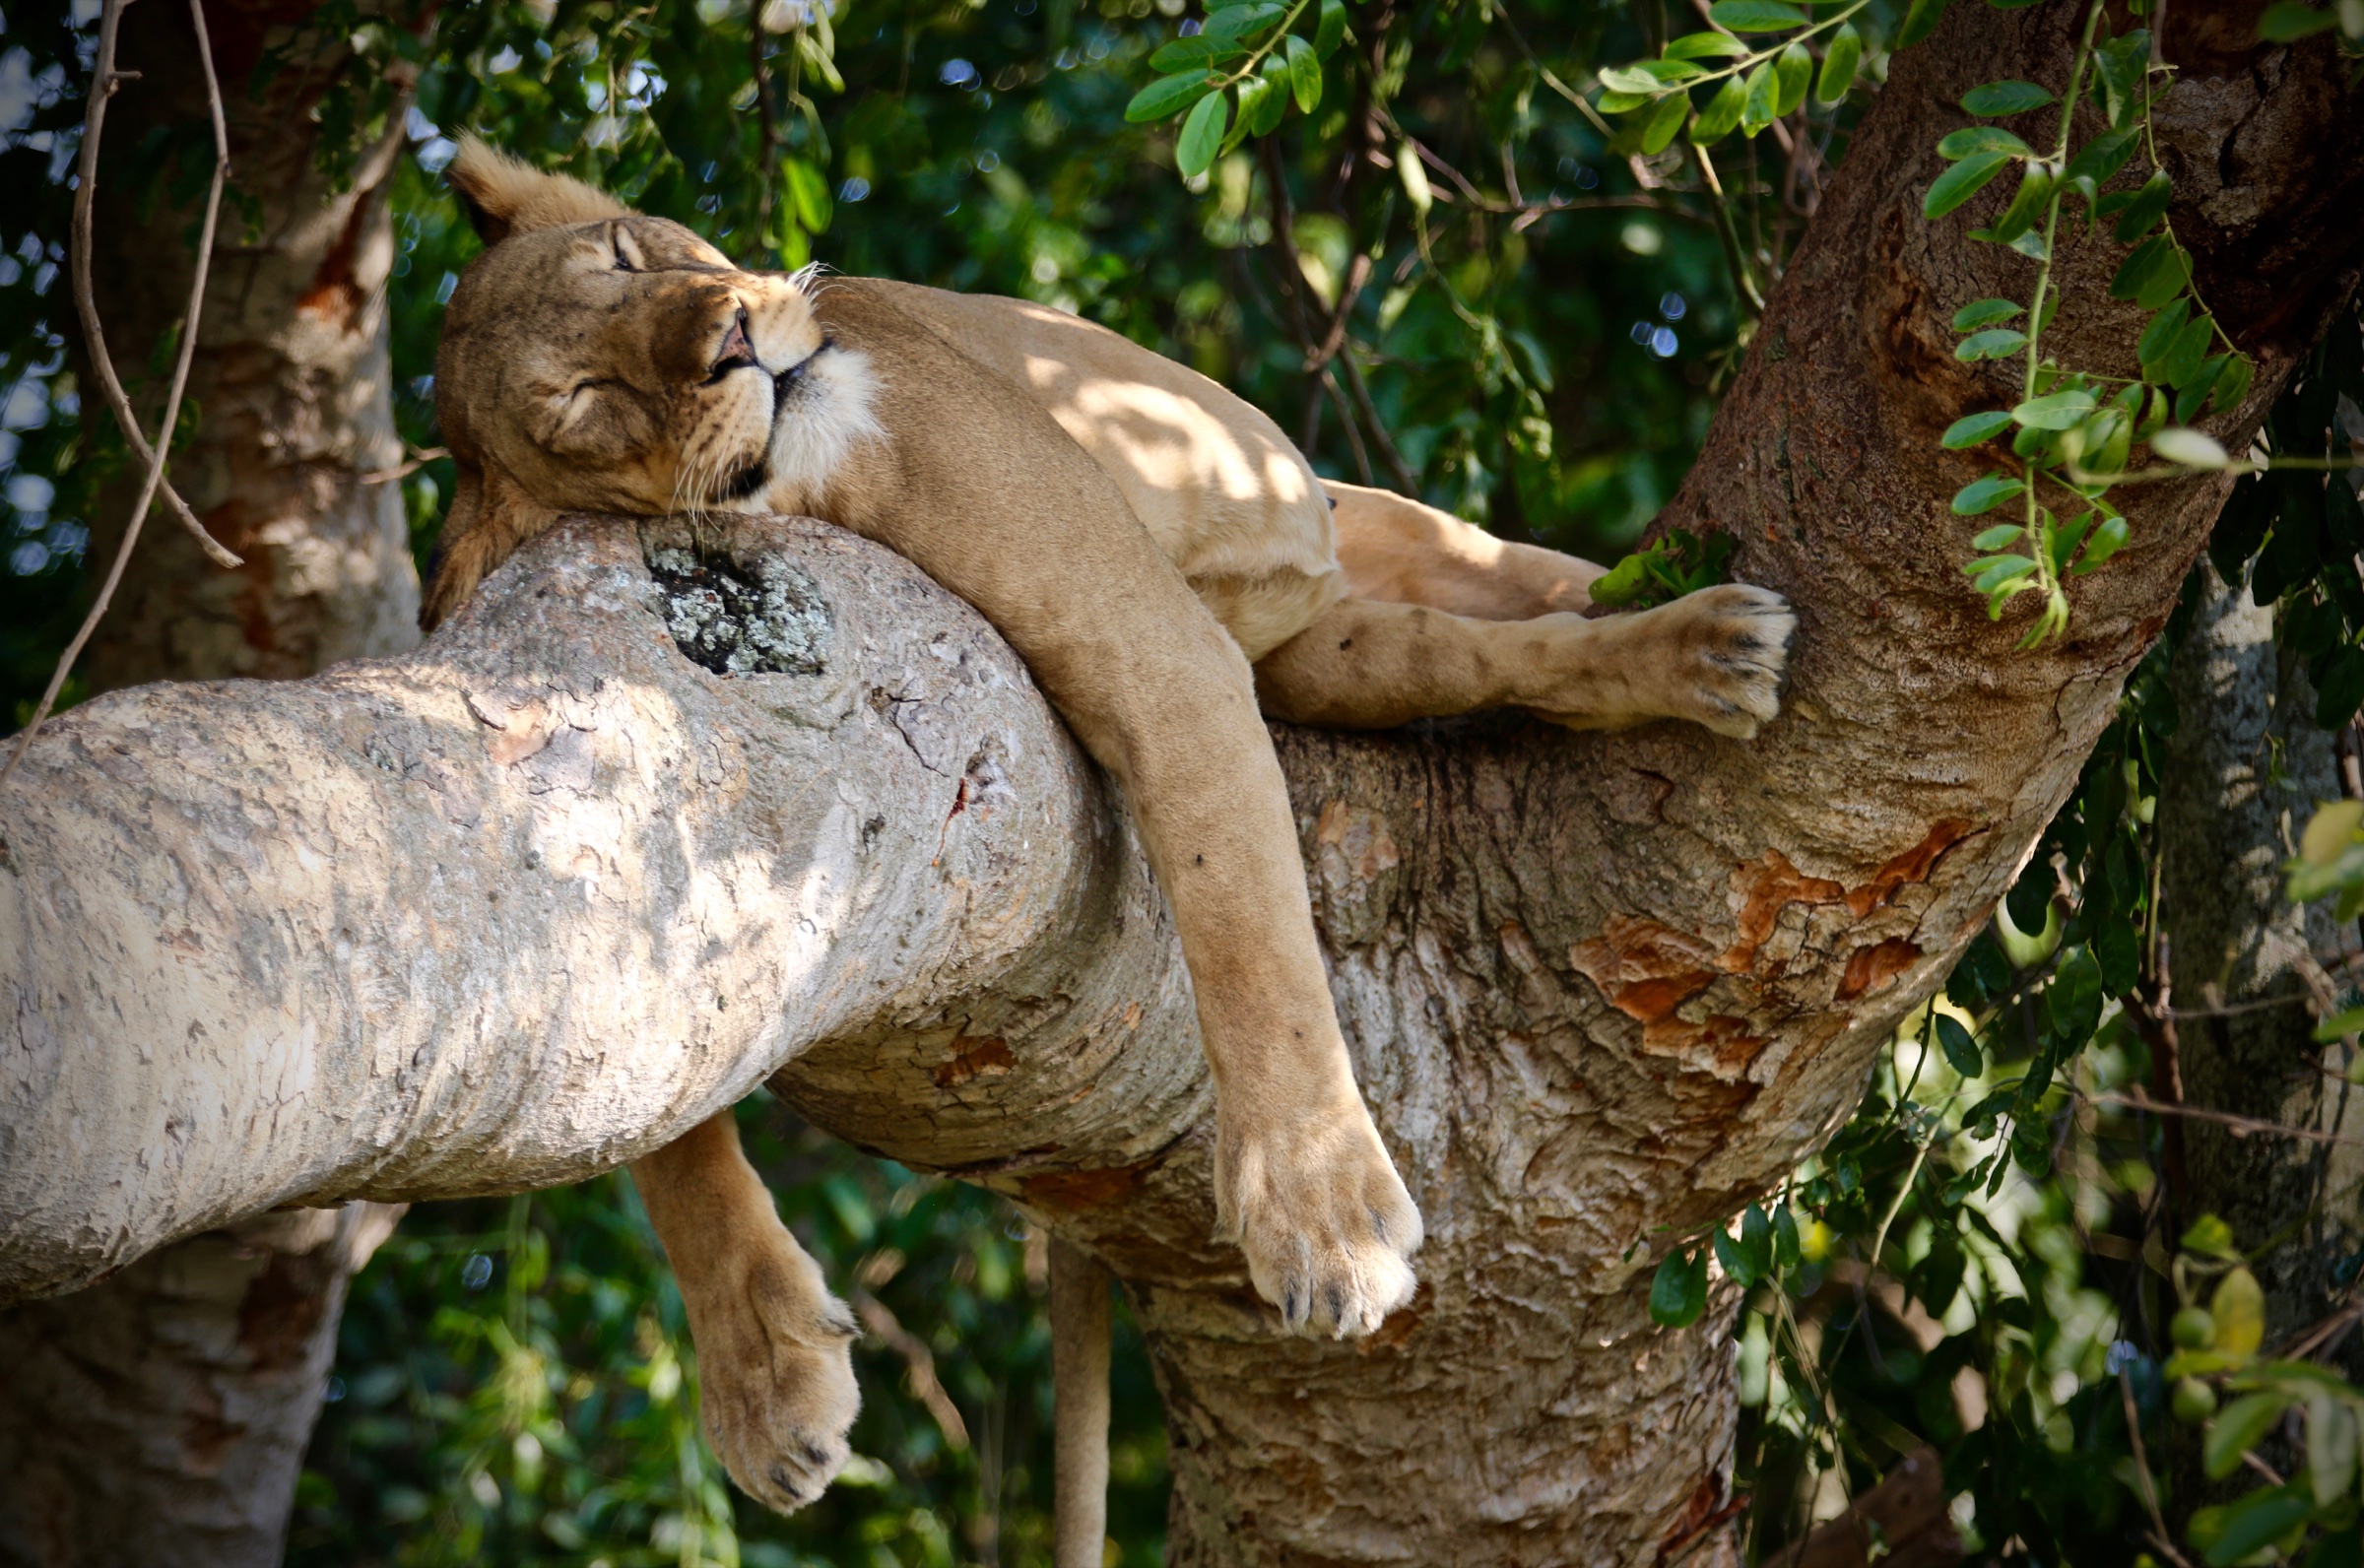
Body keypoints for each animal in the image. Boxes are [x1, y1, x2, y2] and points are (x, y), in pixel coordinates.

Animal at [427, 138, 1793, 1522]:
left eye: (626, 255)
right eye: (584, 400)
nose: (731, 340)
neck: (847, 473)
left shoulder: (1153, 639)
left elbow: (1242, 923)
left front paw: (1322, 1215)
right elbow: (654, 1108)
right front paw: (763, 1375)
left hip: (1378, 532)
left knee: (1528, 581)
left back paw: (1685, 622)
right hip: (1337, 655)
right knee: (1483, 655)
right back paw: (1704, 654)